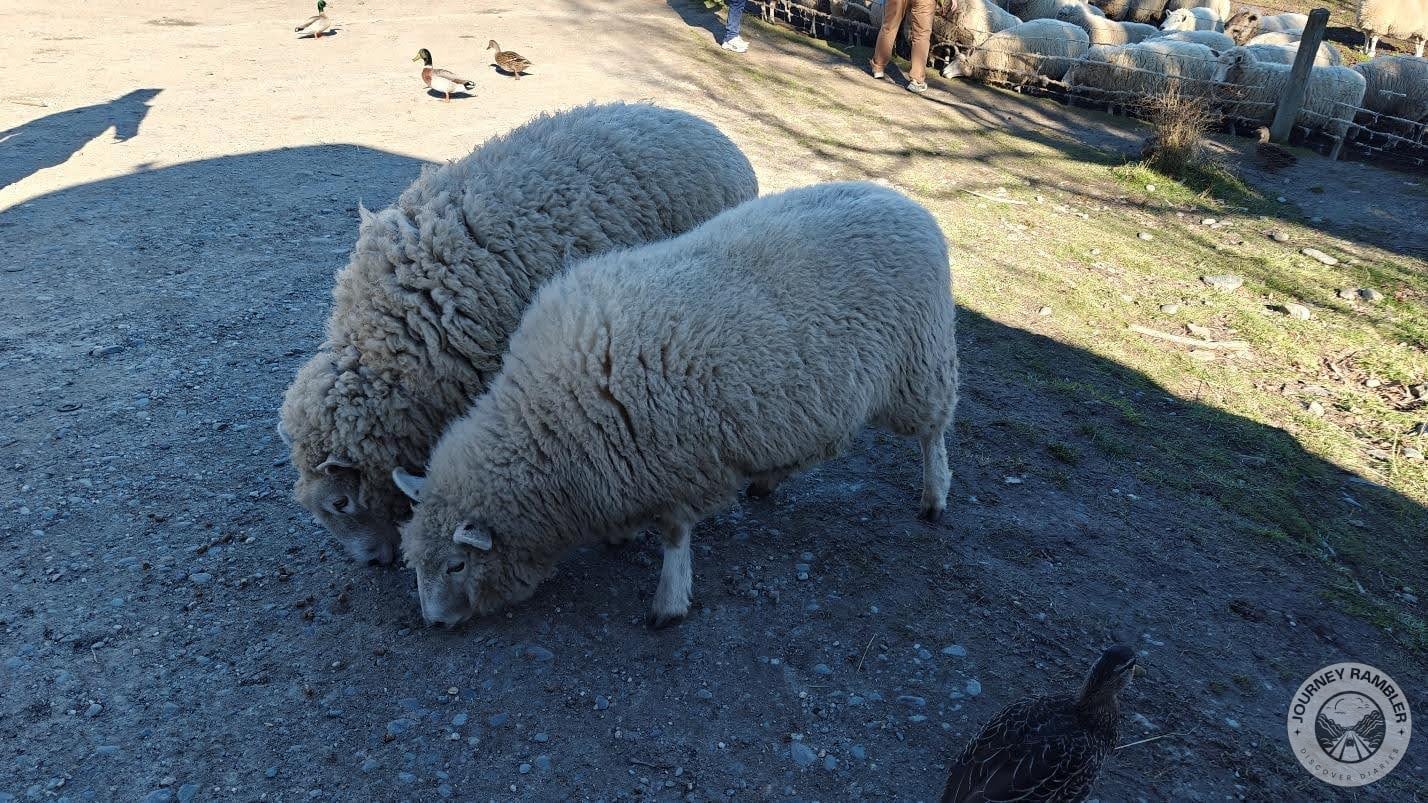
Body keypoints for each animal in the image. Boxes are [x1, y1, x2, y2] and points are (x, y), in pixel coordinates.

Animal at [393, 182, 960, 629]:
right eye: (416, 564)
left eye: (456, 565)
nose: (434, 622)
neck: (549, 420)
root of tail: (905, 202)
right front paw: (621, 539)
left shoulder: (680, 464)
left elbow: (674, 536)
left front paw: (668, 603)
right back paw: (769, 480)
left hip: (919, 364)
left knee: (933, 431)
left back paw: (934, 498)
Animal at [1212, 46, 1367, 138]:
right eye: (1217, 62)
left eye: (1230, 65)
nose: (1216, 81)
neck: (1253, 75)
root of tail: (1360, 78)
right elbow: (1231, 122)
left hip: (1342, 118)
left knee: (1338, 140)